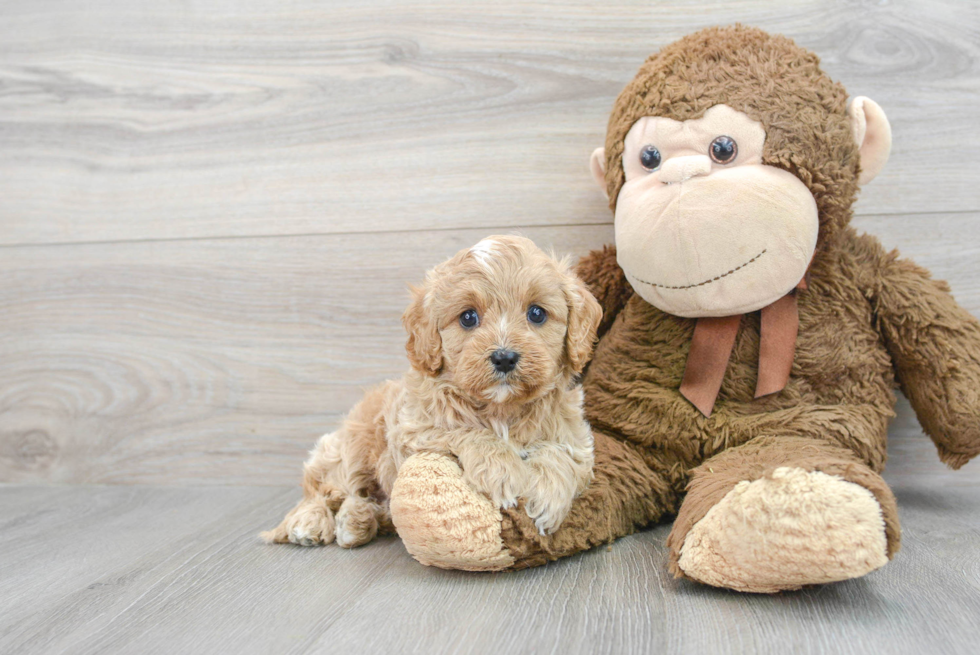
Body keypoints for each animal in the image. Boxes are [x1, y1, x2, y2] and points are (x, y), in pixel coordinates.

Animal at [264, 236, 600, 548]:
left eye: (537, 314)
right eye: (468, 317)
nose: (504, 357)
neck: (501, 408)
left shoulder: (577, 437)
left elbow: (562, 454)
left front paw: (546, 494)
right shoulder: (415, 429)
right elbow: (466, 430)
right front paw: (503, 471)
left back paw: (357, 520)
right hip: (351, 448)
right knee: (324, 489)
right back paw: (310, 522)